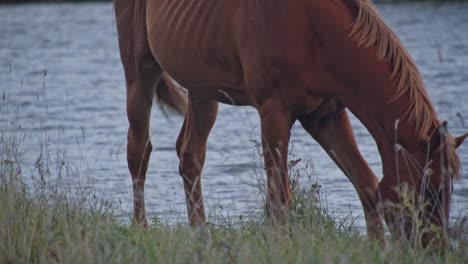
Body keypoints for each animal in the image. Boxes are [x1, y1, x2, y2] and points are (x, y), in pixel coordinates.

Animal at [112, 0, 464, 246]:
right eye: (430, 191)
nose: (436, 249)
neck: (312, 29)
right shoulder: (274, 113)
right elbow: (279, 200)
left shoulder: (326, 115)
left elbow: (366, 183)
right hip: (140, 72)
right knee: (139, 151)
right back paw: (141, 230)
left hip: (202, 91)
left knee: (190, 157)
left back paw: (203, 238)